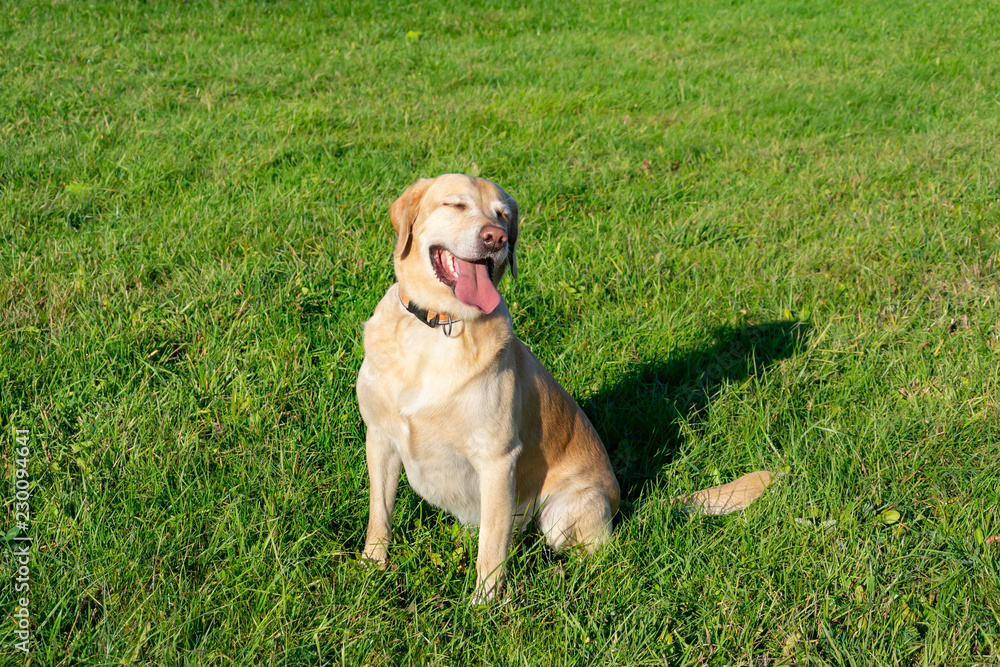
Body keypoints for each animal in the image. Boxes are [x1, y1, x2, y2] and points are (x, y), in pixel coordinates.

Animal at [358, 175, 772, 604]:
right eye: (455, 204)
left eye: (502, 216)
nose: (496, 238)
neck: (441, 325)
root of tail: (622, 503)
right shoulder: (380, 439)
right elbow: (380, 514)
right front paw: (372, 566)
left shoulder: (497, 460)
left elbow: (491, 551)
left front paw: (483, 605)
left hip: (561, 512)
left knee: (592, 553)